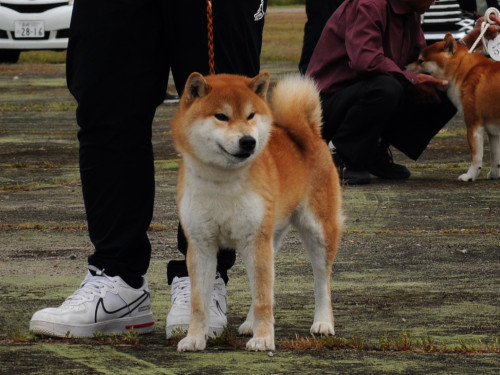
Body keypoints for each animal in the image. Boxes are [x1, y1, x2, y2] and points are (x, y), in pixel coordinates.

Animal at [171, 72, 344, 352]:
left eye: (251, 115)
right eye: (222, 116)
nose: (248, 141)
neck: (223, 181)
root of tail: (308, 132)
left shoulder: (255, 240)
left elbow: (264, 298)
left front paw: (263, 339)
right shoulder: (201, 245)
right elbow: (199, 304)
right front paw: (195, 338)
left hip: (317, 232)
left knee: (322, 282)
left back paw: (323, 322)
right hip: (269, 239)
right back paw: (250, 324)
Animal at [406, 33, 500, 182]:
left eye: (420, 61)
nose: (404, 67)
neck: (463, 71)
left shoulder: (473, 125)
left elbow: (476, 157)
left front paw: (470, 176)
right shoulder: (493, 131)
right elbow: (495, 156)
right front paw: (495, 174)